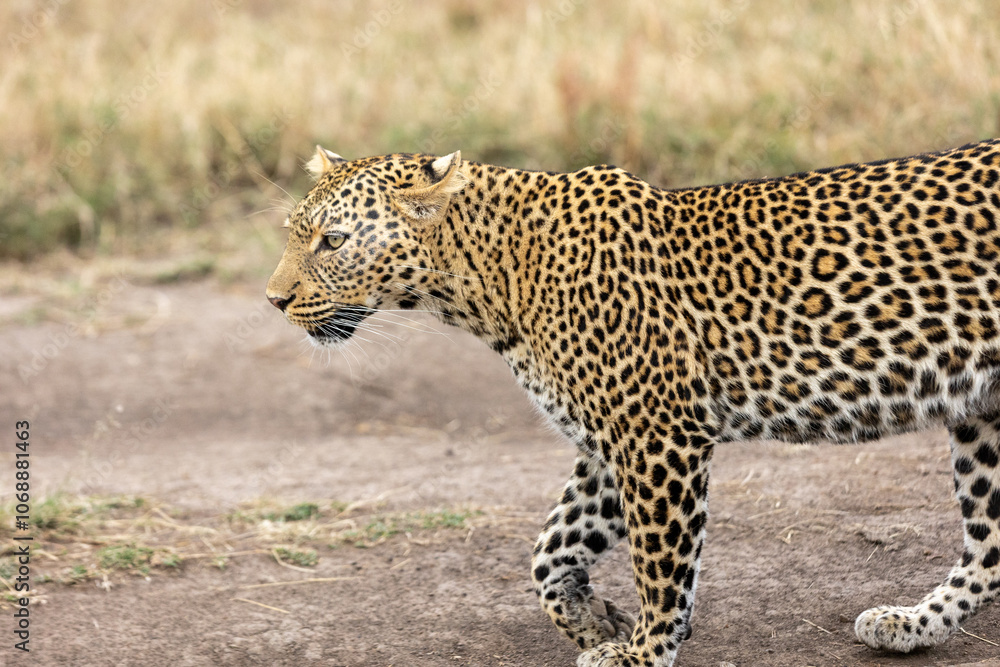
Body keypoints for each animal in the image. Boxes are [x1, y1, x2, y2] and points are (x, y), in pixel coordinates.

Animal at [266, 139, 1000, 666]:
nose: (273, 299)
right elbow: (549, 550)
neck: (485, 281)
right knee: (990, 542)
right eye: (295, 232)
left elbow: (660, 562)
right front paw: (595, 621)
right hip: (983, 413)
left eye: (333, 240)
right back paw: (913, 624)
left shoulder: (655, 436)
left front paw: (643, 650)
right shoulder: (605, 443)